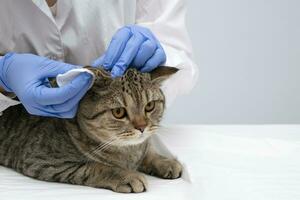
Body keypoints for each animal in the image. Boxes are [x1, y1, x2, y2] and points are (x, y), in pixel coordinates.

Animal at [0, 66, 183, 193]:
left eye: (150, 106)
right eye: (119, 112)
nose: (142, 127)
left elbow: (148, 152)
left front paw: (163, 161)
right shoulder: (43, 160)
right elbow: (95, 167)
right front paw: (126, 176)